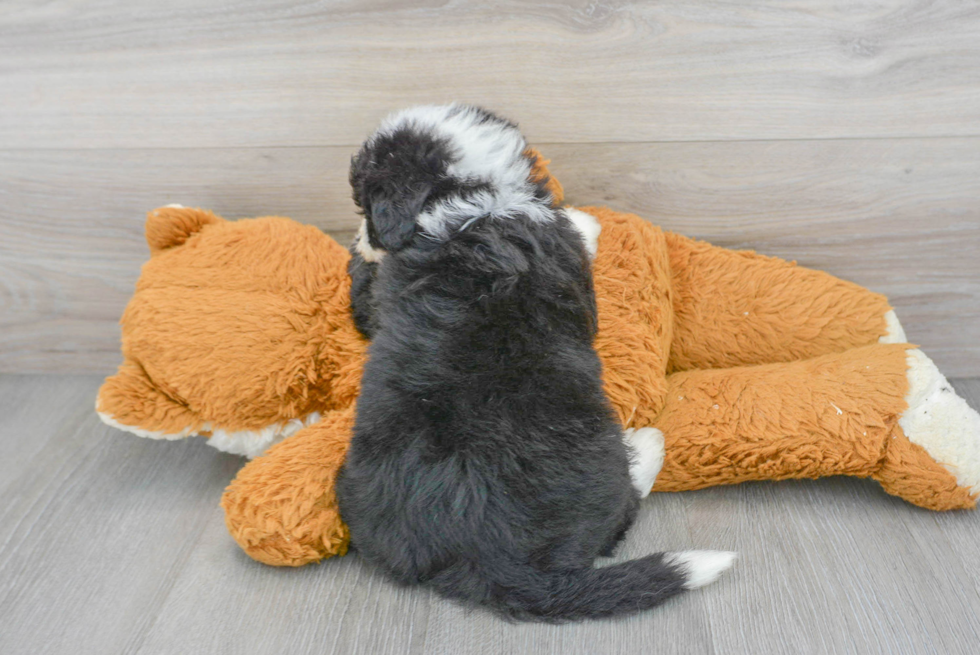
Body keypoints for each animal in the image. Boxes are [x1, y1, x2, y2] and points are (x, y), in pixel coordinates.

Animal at [338, 105, 736, 624]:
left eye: (365, 206)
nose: (361, 242)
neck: (462, 197)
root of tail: (488, 564)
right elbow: (579, 232)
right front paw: (588, 220)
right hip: (597, 455)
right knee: (622, 511)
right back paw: (648, 444)